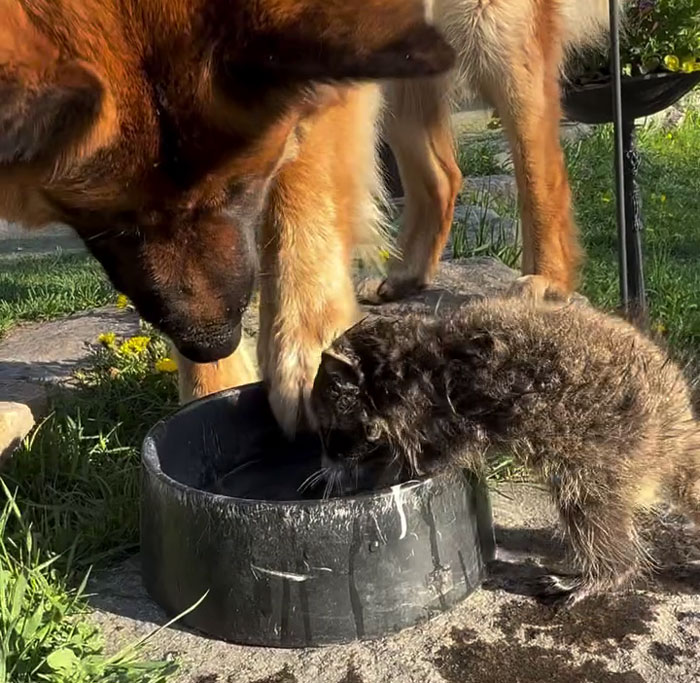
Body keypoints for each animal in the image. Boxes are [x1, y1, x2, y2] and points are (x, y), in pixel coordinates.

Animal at [310, 298, 700, 606]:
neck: (406, 359)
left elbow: (425, 462)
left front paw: (379, 476)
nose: (323, 467)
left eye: (328, 433)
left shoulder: (439, 416)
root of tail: (677, 420)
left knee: (590, 508)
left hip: (608, 443)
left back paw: (608, 571)